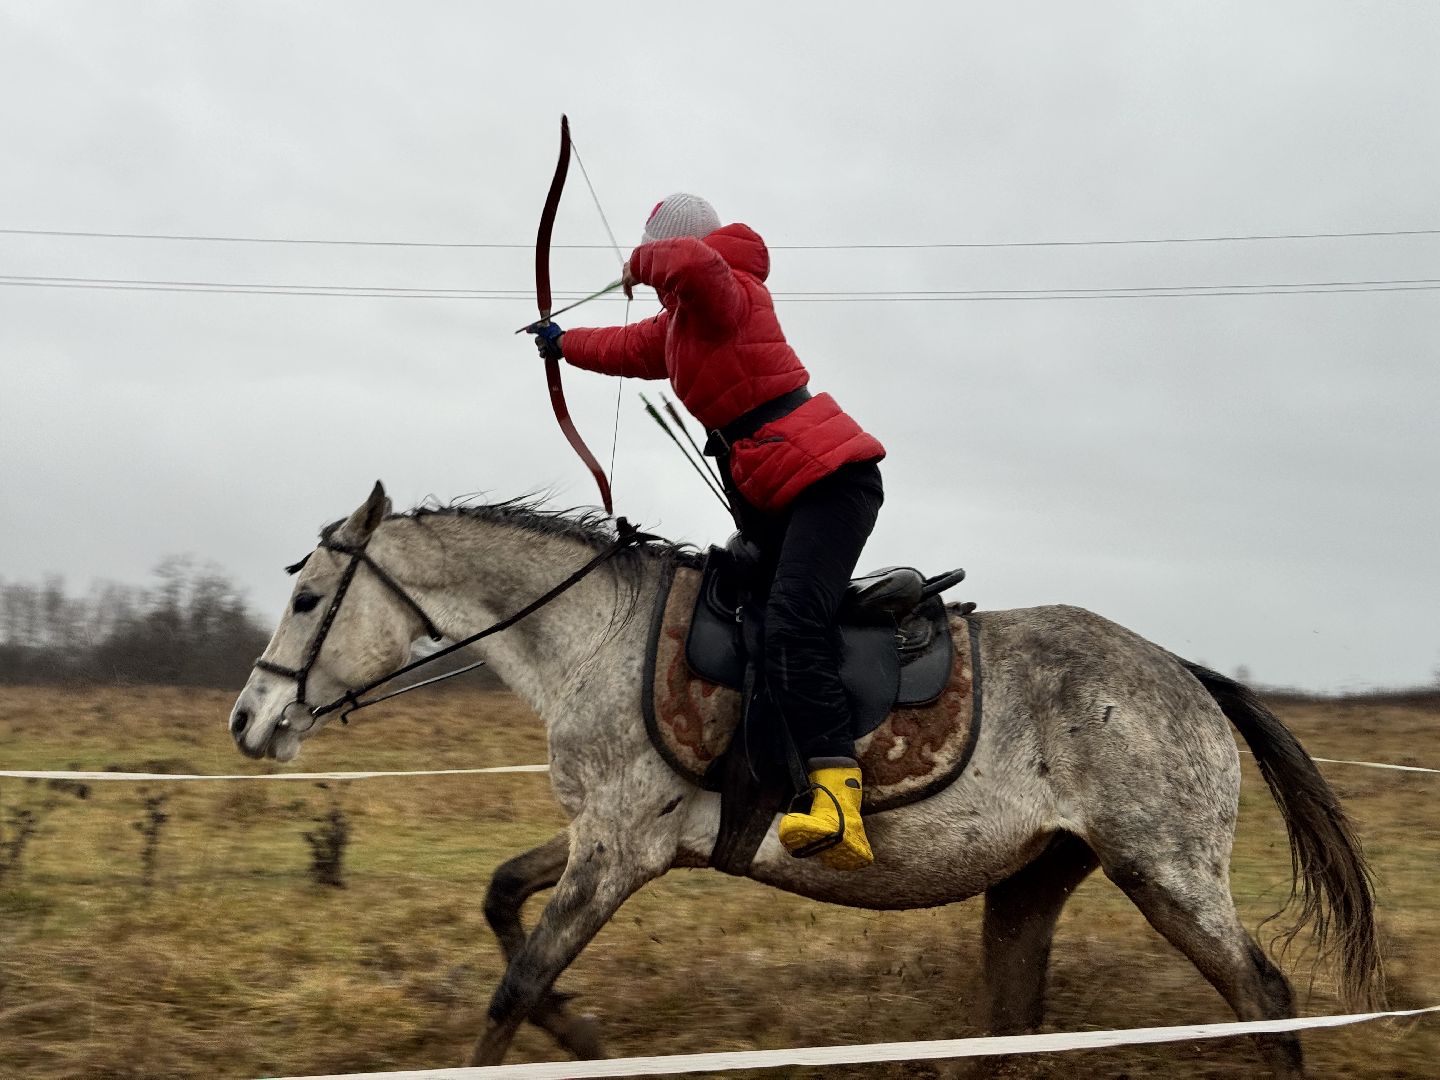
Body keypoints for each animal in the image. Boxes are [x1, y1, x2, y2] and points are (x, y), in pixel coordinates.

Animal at [228, 482, 1381, 1077]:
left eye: (310, 599)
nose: (249, 721)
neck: (593, 637)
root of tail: (1186, 673)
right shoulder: (611, 833)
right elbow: (502, 900)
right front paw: (582, 1033)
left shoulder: (619, 850)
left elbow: (514, 983)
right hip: (1035, 880)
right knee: (1015, 1020)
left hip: (1166, 874)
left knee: (1266, 997)